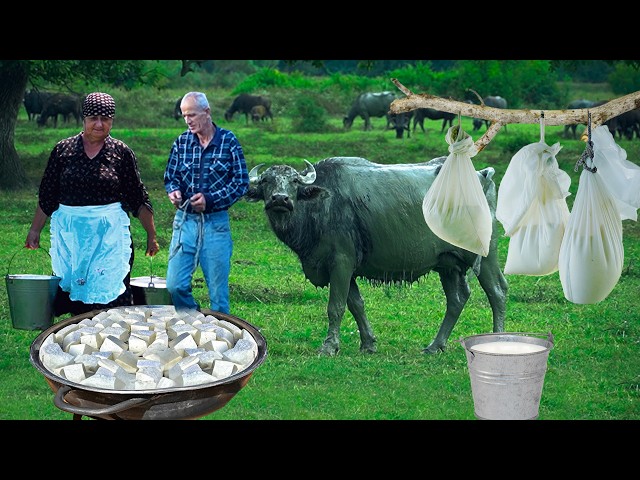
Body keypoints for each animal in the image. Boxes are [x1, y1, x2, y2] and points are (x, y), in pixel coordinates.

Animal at [246, 156, 510, 354]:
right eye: (267, 181)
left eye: (293, 181)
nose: (280, 199)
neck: (320, 206)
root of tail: (482, 175)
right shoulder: (346, 269)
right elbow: (356, 304)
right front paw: (368, 344)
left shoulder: (341, 262)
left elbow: (336, 306)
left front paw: (329, 346)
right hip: (448, 263)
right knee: (457, 299)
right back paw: (435, 346)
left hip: (486, 255)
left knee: (497, 291)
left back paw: (497, 340)